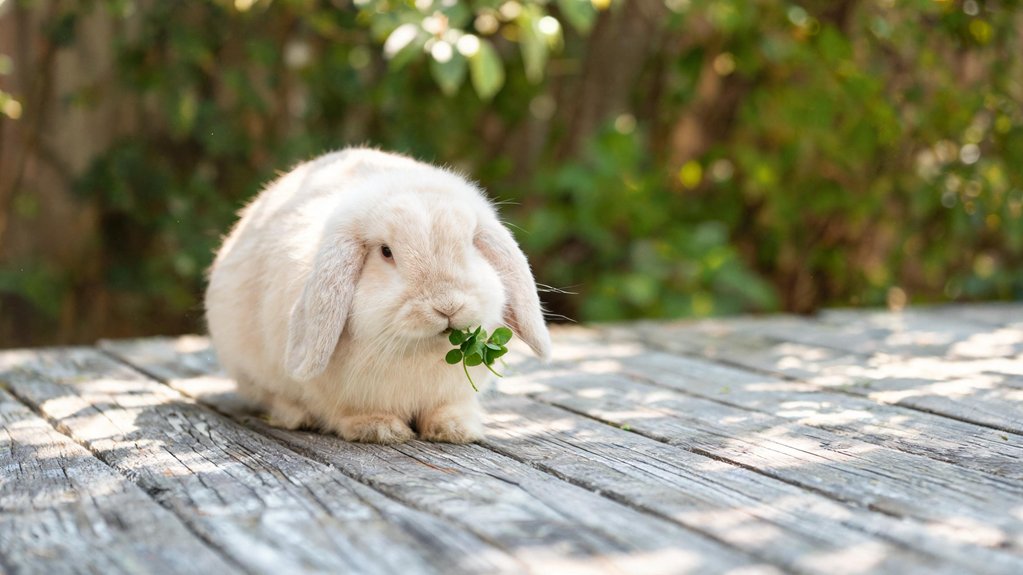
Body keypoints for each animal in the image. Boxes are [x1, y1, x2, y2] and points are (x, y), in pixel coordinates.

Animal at [205, 148, 551, 443]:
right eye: (386, 252)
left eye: (470, 243)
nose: (447, 306)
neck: (418, 352)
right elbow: (349, 413)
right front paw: (380, 429)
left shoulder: (453, 394)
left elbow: (447, 408)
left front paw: (456, 429)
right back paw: (296, 415)